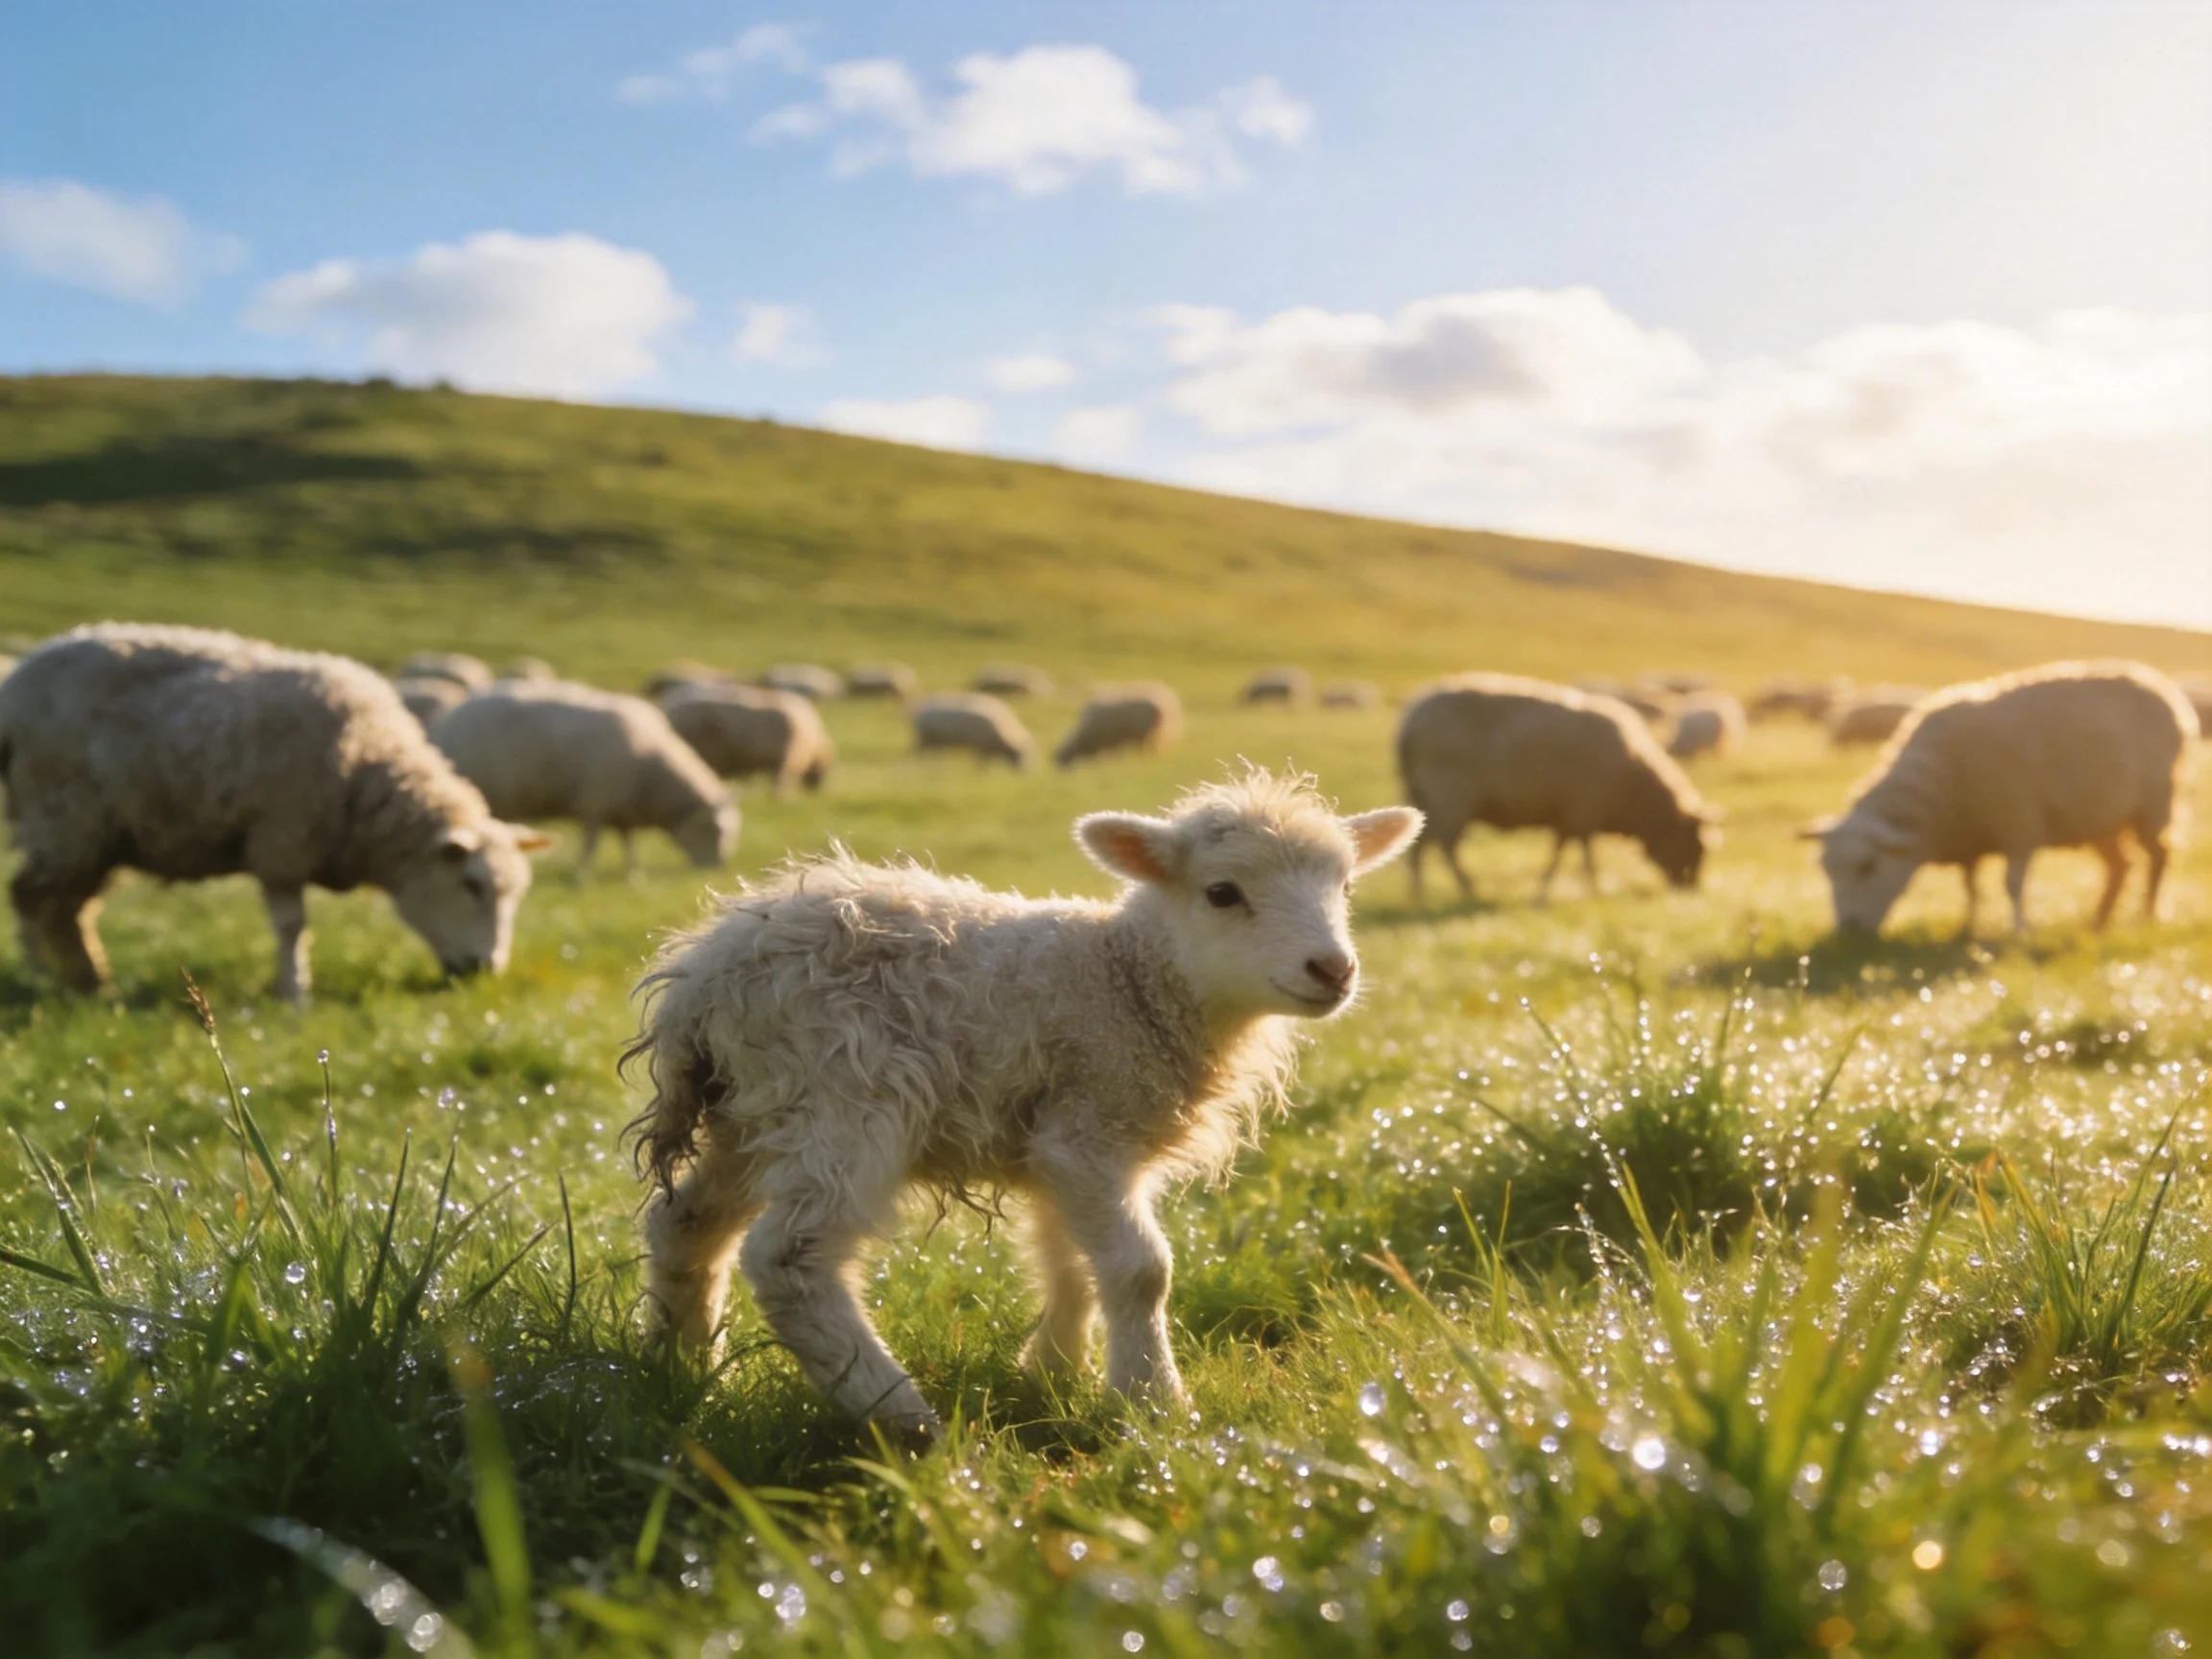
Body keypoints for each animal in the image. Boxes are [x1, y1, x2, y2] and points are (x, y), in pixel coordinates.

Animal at [0, 623, 547, 1003]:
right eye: (471, 885)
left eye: (518, 894)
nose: (486, 970)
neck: (366, 767)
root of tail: (20, 680)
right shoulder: (281, 840)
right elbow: (291, 927)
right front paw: (294, 993)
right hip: (62, 816)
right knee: (30, 896)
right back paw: (38, 977)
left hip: (97, 835)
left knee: (69, 911)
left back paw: (93, 985)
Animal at [431, 679, 738, 875]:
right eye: (714, 830)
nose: (718, 869)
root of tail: (447, 720)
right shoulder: (596, 804)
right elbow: (591, 845)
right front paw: (581, 875)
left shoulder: (621, 809)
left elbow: (628, 843)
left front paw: (633, 874)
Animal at [624, 768, 1423, 1438]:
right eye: (1222, 892)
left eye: (1345, 888)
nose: (1333, 969)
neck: (1127, 980)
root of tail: (702, 980)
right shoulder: (1091, 1124)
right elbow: (1140, 1270)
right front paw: (1153, 1402)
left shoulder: (1058, 1144)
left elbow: (1067, 1259)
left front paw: (1055, 1372)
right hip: (842, 1100)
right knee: (788, 1260)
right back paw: (902, 1418)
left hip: (750, 1115)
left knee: (682, 1223)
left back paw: (679, 1371)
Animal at [1396, 674, 1720, 903]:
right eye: (1694, 846)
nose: (1689, 890)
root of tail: (1408, 724)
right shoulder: (1584, 809)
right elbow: (1585, 857)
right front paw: (1594, 891)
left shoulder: (1568, 816)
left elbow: (1559, 853)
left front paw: (1544, 890)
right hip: (1450, 795)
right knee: (1445, 845)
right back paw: (1464, 889)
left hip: (1423, 795)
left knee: (1421, 845)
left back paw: (1419, 894)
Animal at [1801, 661, 2198, 935]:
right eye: (1825, 869)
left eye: (1867, 866)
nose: (1847, 931)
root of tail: (2157, 683)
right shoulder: (1968, 840)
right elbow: (1971, 888)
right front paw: (1967, 928)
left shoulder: (2019, 825)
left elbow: (2013, 884)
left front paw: (2020, 931)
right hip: (2101, 819)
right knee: (2120, 866)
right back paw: (2097, 921)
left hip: (2153, 804)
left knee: (2158, 857)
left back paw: (2147, 915)